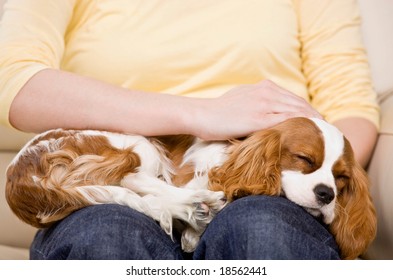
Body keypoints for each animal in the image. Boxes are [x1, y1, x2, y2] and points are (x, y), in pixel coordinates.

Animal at [5, 117, 374, 260]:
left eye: (341, 178)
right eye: (304, 159)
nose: (326, 194)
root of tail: (18, 174)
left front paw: (193, 232)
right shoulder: (191, 171)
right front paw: (199, 211)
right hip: (136, 145)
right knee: (132, 179)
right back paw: (195, 204)